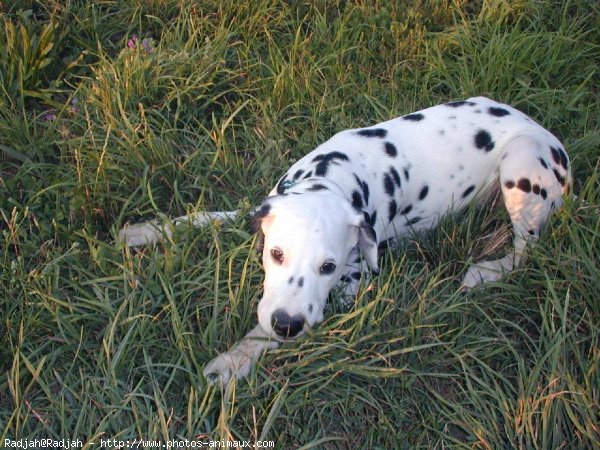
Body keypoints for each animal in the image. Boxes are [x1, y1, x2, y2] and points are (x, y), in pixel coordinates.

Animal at [117, 95, 572, 384]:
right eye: (275, 253)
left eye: (328, 267)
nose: (287, 324)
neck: (332, 177)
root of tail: (550, 139)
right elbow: (207, 217)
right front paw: (146, 231)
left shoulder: (350, 288)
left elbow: (264, 334)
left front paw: (233, 361)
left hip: (522, 165)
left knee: (526, 249)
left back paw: (487, 272)